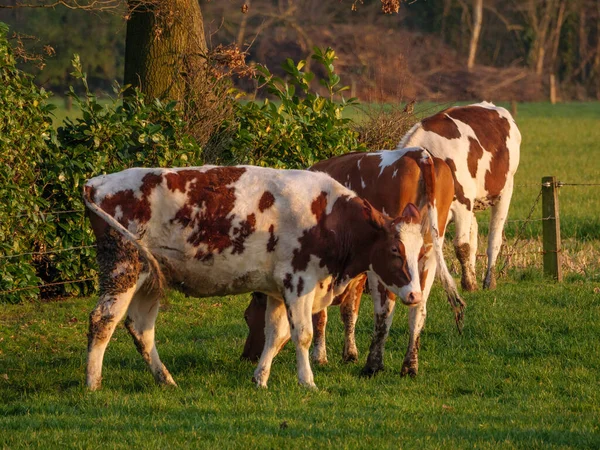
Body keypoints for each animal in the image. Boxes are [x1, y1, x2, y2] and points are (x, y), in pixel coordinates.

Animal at [82, 165, 426, 390]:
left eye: (419, 250)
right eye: (395, 249)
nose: (415, 295)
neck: (329, 217)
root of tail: (96, 183)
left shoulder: (277, 290)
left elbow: (277, 335)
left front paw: (260, 378)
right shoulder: (298, 281)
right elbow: (302, 334)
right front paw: (307, 381)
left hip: (151, 277)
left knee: (141, 328)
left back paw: (165, 379)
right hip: (123, 268)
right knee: (103, 320)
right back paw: (93, 382)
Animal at [240, 148, 464, 376]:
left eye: (247, 317)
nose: (246, 356)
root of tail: (418, 153)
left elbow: (320, 316)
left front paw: (320, 356)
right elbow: (349, 311)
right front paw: (349, 353)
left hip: (386, 268)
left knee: (384, 311)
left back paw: (373, 364)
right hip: (427, 253)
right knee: (418, 310)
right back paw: (410, 366)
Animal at [398, 101, 520, 292]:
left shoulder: (462, 203)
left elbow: (461, 247)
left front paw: (469, 285)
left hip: (505, 190)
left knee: (494, 239)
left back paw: (488, 281)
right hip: (473, 202)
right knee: (473, 236)